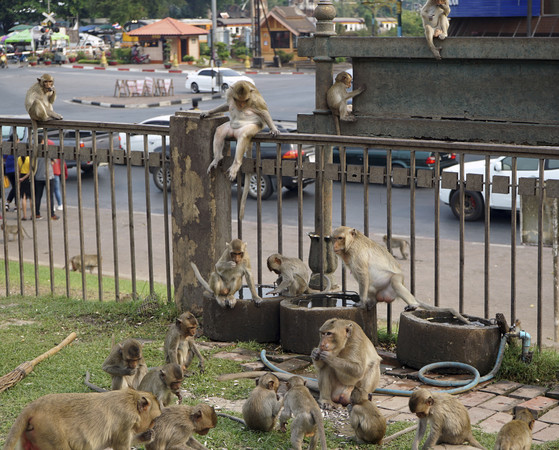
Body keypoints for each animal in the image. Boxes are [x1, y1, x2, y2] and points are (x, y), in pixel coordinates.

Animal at [4, 386, 161, 450]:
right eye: (154, 419)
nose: (153, 426)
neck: (131, 401)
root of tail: (34, 406)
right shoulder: (125, 421)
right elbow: (120, 446)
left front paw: (146, 436)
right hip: (50, 432)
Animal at [201, 82, 280, 221]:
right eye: (238, 100)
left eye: (245, 101)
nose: (242, 106)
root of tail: (234, 132)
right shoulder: (229, 94)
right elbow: (226, 105)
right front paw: (208, 112)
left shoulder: (255, 101)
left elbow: (264, 112)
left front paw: (273, 128)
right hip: (230, 129)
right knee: (220, 130)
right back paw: (217, 158)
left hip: (250, 128)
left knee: (243, 136)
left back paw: (236, 164)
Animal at [334, 227, 470, 326]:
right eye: (333, 238)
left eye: (340, 238)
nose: (334, 245)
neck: (352, 244)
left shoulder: (357, 253)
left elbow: (362, 274)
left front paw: (361, 302)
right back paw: (372, 301)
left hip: (394, 282)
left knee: (394, 281)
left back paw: (413, 304)